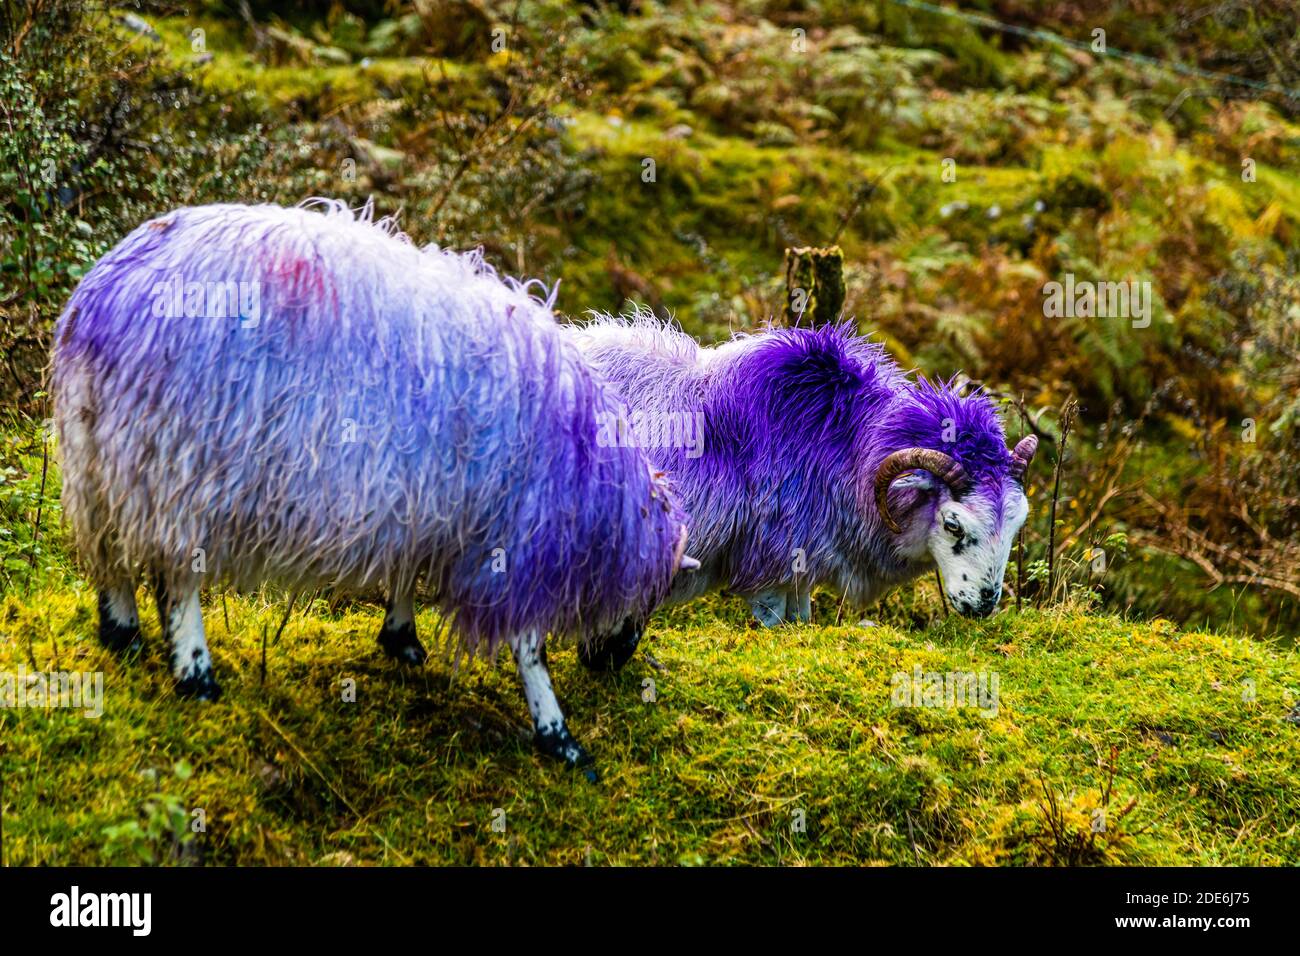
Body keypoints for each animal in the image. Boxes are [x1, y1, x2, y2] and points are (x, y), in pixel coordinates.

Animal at [51, 200, 690, 773]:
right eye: (652, 594)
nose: (614, 662)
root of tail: (108, 296)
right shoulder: (512, 534)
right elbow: (528, 647)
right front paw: (558, 735)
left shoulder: (424, 502)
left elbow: (406, 573)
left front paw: (401, 637)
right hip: (178, 465)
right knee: (175, 578)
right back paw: (194, 672)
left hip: (100, 459)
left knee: (109, 554)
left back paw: (122, 633)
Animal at [569, 313, 1037, 662]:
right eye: (953, 525)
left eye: (1016, 526)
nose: (983, 606)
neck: (842, 443)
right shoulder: (768, 566)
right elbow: (774, 623)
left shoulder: (801, 567)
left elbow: (801, 621)